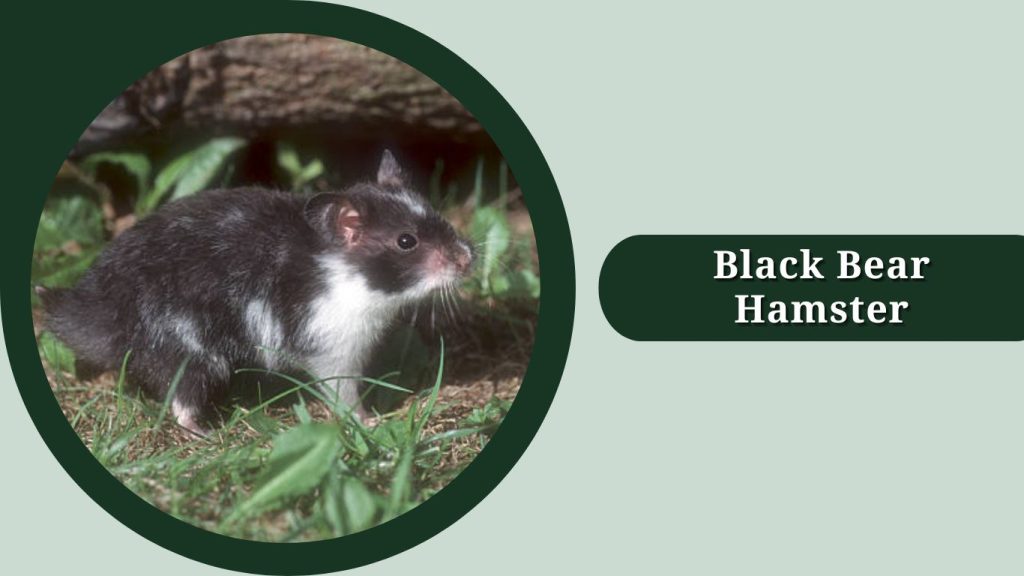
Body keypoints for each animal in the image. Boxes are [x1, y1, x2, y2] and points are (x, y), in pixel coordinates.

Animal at [39, 150, 474, 434]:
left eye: (436, 213)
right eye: (406, 241)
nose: (468, 259)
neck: (344, 272)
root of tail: (103, 312)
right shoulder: (331, 347)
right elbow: (344, 393)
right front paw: (371, 423)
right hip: (190, 353)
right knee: (180, 403)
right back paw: (210, 433)